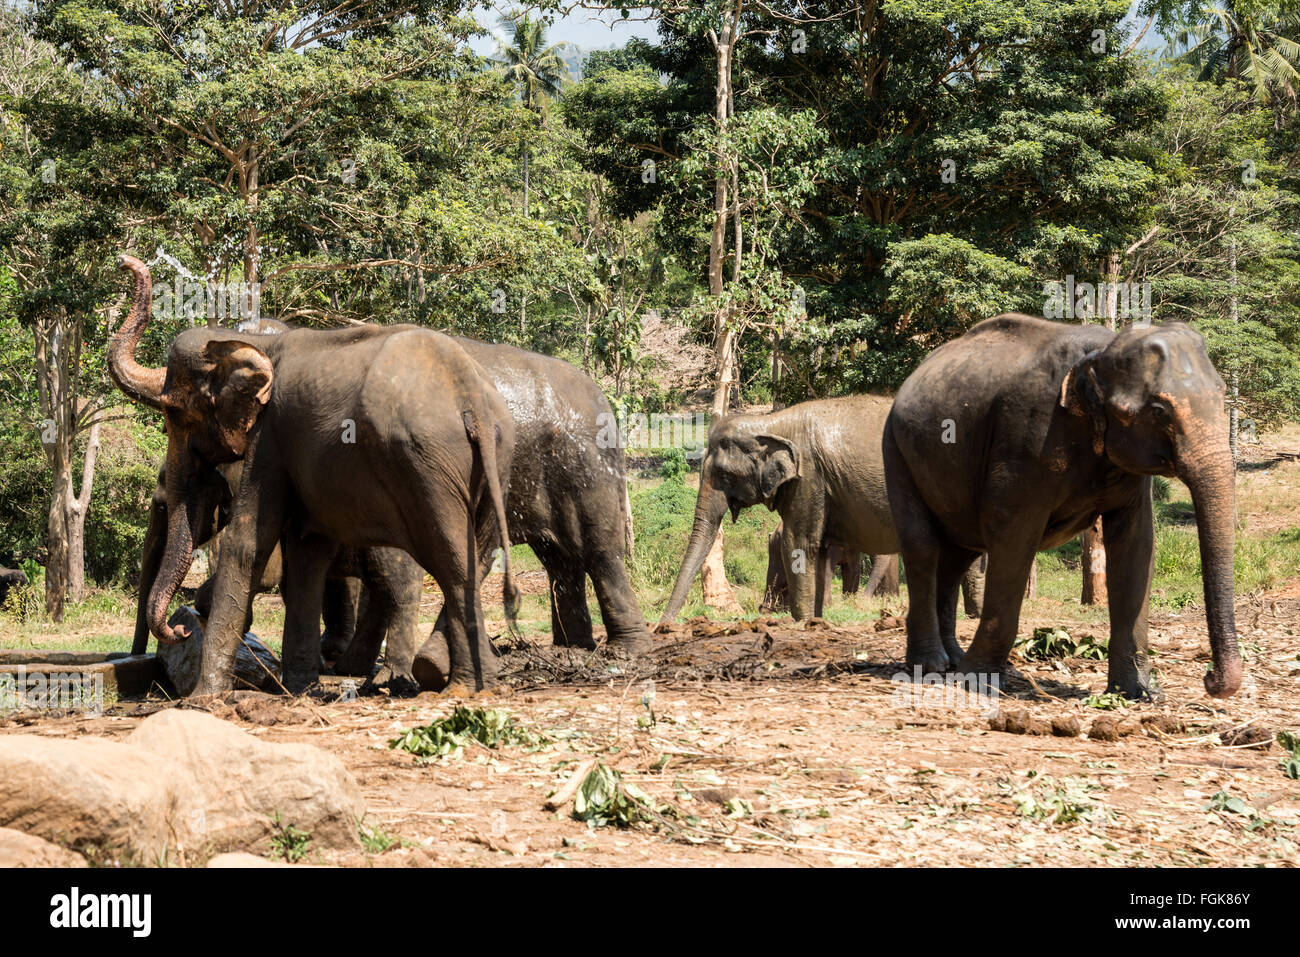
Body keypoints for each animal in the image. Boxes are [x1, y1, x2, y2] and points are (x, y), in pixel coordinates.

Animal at [110, 256, 517, 696]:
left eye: (176, 414)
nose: (179, 632)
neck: (251, 341)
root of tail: (470, 398)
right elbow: (307, 548)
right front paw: (301, 688)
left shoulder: (270, 434)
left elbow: (250, 541)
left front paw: (205, 698)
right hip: (497, 458)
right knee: (471, 556)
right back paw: (474, 680)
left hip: (426, 465)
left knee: (448, 563)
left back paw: (452, 685)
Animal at [883, 317, 1237, 696]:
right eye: (1158, 411)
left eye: (1221, 394)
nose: (1210, 680)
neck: (1101, 351)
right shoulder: (1027, 436)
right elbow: (1012, 535)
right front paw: (978, 681)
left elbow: (1136, 544)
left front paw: (1138, 693)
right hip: (896, 450)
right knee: (923, 547)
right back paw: (931, 665)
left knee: (956, 556)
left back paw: (951, 660)